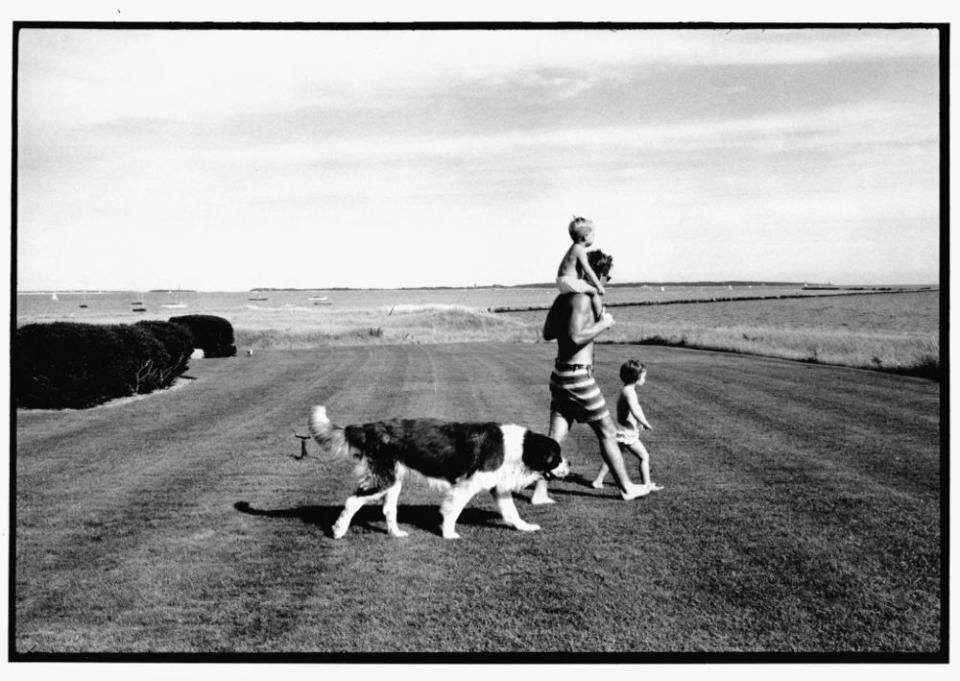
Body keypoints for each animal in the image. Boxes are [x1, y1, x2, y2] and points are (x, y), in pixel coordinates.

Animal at [308, 406, 568, 540]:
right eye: (556, 457)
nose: (569, 464)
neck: (520, 447)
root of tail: (369, 427)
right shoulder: (466, 485)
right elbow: (453, 511)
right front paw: (449, 533)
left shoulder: (498, 487)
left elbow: (512, 513)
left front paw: (525, 527)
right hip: (383, 478)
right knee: (352, 501)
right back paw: (338, 530)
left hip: (394, 479)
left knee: (388, 508)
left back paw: (396, 532)